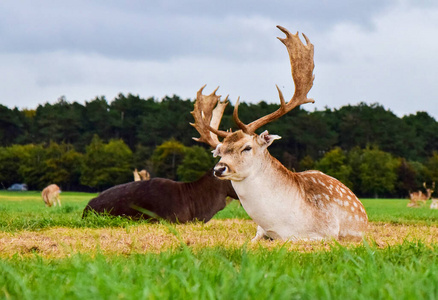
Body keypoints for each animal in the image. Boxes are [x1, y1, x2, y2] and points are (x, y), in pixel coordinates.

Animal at [192, 25, 370, 241]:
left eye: (247, 147)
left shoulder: (327, 232)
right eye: (221, 150)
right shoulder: (260, 230)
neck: (281, 225)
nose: (219, 169)